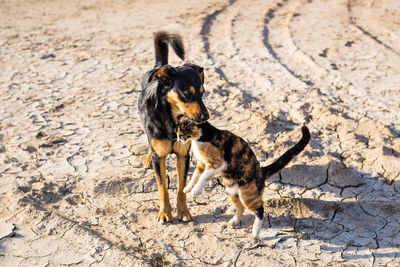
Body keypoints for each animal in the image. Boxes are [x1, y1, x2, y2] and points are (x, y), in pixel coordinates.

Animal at [138, 31, 209, 224]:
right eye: (186, 93)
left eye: (202, 92)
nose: (206, 118)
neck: (171, 121)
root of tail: (160, 67)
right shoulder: (160, 158)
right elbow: (162, 188)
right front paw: (165, 213)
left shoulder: (183, 155)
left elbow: (181, 187)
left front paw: (183, 211)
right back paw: (148, 158)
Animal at [177, 117, 310, 237]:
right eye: (177, 133)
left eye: (182, 133)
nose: (178, 139)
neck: (201, 137)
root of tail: (261, 171)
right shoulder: (201, 164)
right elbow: (195, 176)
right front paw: (187, 188)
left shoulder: (217, 164)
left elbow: (203, 177)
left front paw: (196, 190)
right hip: (232, 192)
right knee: (241, 207)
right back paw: (234, 221)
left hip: (247, 195)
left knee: (260, 209)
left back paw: (255, 232)